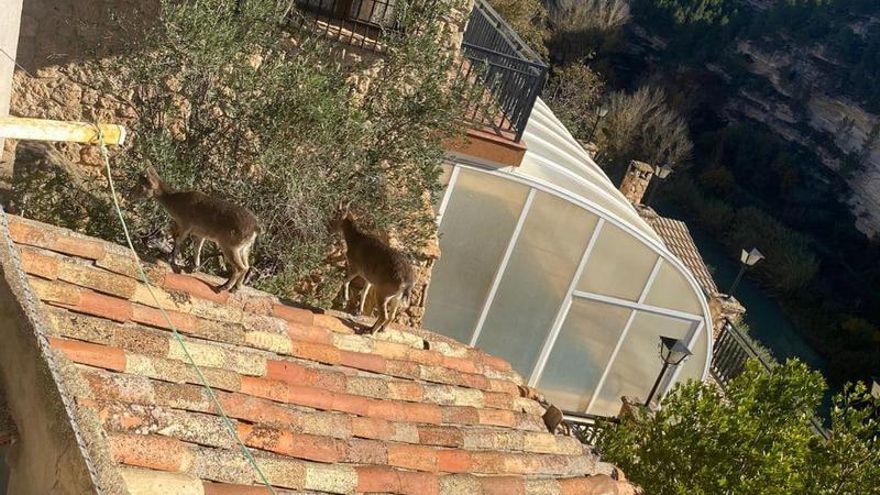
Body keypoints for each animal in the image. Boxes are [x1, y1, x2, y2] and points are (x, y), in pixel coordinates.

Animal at [131, 166, 260, 293]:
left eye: (141, 186)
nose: (130, 194)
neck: (176, 204)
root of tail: (255, 228)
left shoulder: (185, 224)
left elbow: (179, 240)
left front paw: (172, 259)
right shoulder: (200, 233)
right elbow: (197, 248)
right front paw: (194, 267)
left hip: (230, 245)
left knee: (240, 267)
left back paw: (224, 287)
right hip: (244, 248)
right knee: (246, 266)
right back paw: (236, 288)